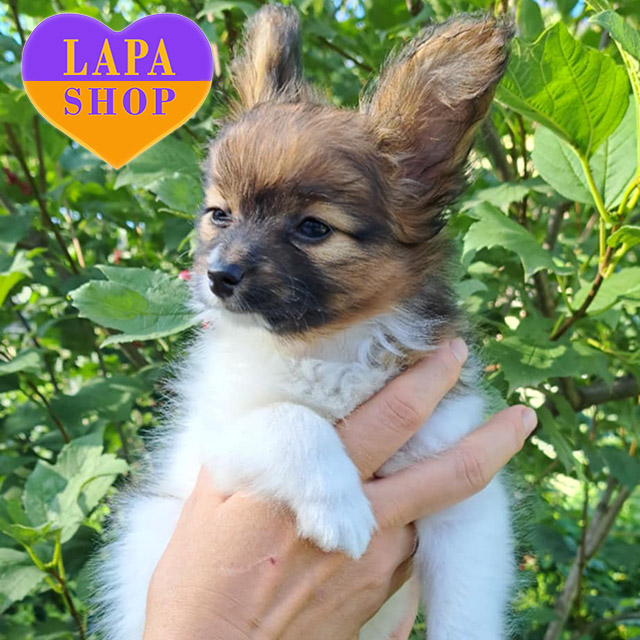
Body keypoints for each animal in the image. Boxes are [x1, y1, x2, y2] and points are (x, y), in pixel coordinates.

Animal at [93, 6, 514, 639]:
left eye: (314, 228)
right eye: (220, 215)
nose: (218, 276)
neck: (324, 346)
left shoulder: (463, 498)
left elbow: (467, 610)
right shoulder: (214, 441)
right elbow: (290, 420)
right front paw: (340, 508)